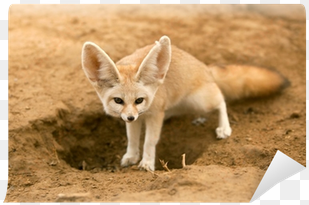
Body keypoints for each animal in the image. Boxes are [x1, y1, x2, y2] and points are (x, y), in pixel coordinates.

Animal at [80, 35, 288, 171]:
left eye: (139, 100)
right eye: (118, 100)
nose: (130, 117)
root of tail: (206, 68)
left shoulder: (154, 114)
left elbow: (149, 141)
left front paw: (147, 163)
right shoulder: (136, 118)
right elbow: (132, 139)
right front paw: (131, 156)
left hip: (201, 100)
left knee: (221, 99)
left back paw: (224, 127)